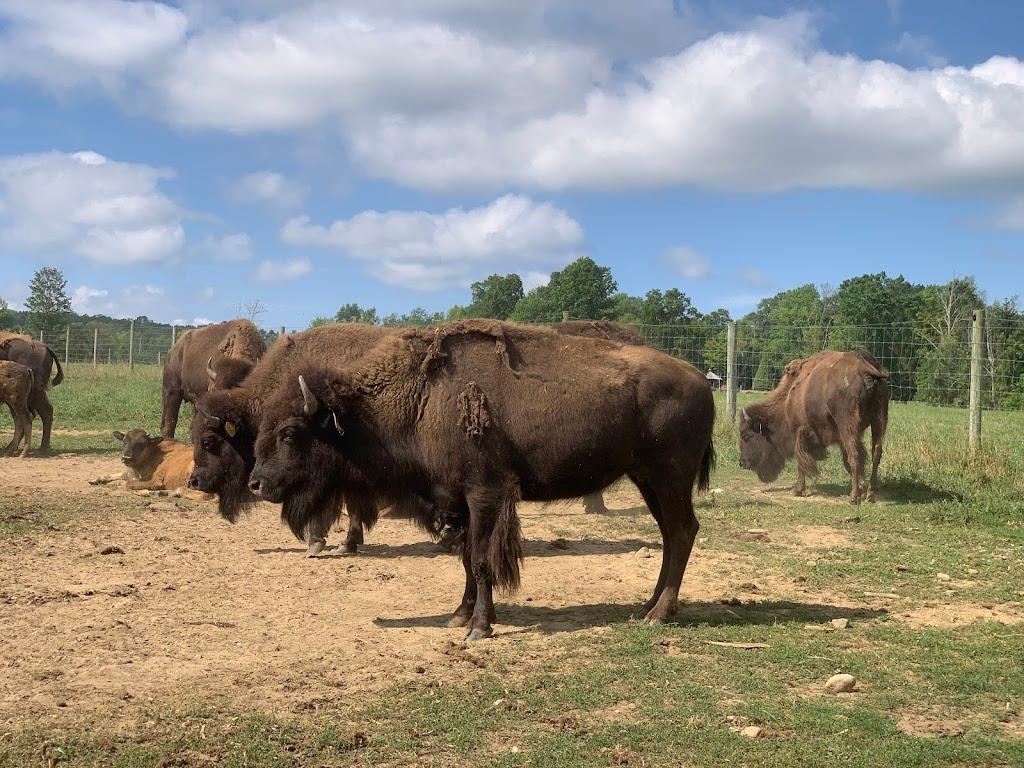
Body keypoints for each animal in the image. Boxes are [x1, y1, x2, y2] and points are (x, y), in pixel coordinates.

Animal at [248, 320, 715, 640]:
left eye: (290, 432)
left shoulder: (484, 495)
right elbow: (467, 560)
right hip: (646, 479)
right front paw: (461, 616)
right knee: (671, 534)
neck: (421, 398)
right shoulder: (459, 502)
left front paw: (480, 628)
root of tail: (700, 380)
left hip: (669, 477)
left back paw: (657, 614)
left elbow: (480, 559)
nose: (257, 483)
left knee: (681, 530)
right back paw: (649, 605)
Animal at [738, 350, 889, 503]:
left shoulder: (799, 433)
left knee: (854, 455)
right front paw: (860, 489)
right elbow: (846, 461)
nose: (742, 462)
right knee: (876, 453)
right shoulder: (838, 437)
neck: (789, 399)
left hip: (847, 424)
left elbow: (801, 462)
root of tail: (865, 368)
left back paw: (853, 498)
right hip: (879, 420)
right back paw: (870, 494)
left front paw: (797, 490)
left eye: (746, 436)